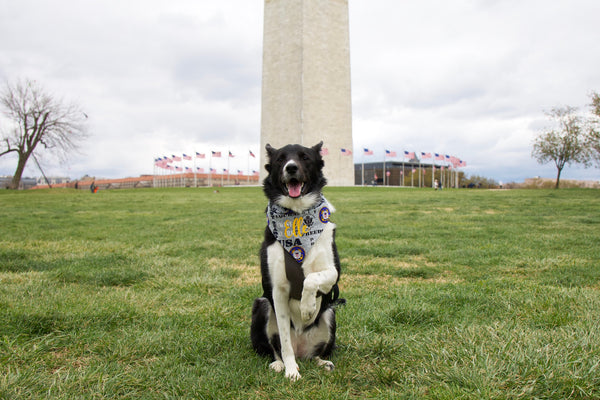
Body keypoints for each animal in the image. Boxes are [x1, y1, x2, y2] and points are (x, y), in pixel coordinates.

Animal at [250, 141, 342, 382]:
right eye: (281, 159)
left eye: (304, 157)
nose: (291, 168)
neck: (298, 216)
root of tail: (303, 350)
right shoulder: (277, 289)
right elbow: (284, 343)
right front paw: (291, 370)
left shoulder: (333, 273)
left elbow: (311, 278)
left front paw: (307, 308)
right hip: (262, 304)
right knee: (274, 349)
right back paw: (279, 364)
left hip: (330, 312)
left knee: (317, 353)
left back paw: (322, 362)